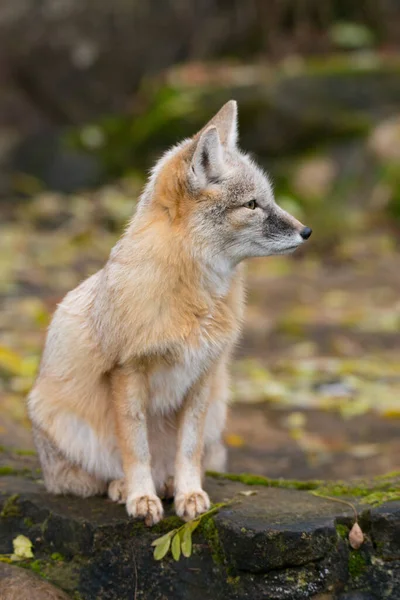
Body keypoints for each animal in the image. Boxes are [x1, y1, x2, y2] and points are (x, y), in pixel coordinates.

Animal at [27, 102, 312, 524]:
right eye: (252, 205)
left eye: (270, 199)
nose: (307, 231)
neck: (194, 300)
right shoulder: (127, 372)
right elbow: (136, 448)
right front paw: (140, 496)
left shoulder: (202, 374)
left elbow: (188, 449)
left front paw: (188, 492)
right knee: (95, 477)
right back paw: (123, 486)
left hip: (218, 408)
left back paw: (169, 484)